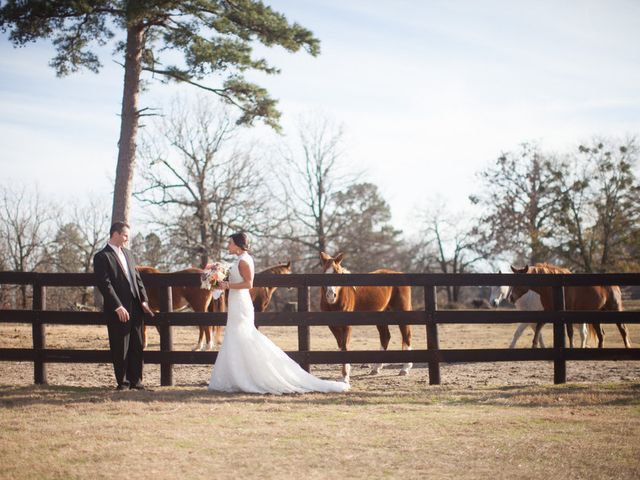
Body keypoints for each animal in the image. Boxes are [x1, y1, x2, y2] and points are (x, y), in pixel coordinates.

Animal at [318, 251, 412, 382]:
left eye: (338, 273)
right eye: (323, 273)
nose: (331, 295)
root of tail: (400, 274)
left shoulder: (347, 325)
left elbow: (345, 347)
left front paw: (345, 377)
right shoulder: (332, 326)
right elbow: (341, 346)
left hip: (402, 313)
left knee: (406, 336)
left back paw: (405, 369)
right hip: (381, 317)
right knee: (385, 337)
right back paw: (376, 368)